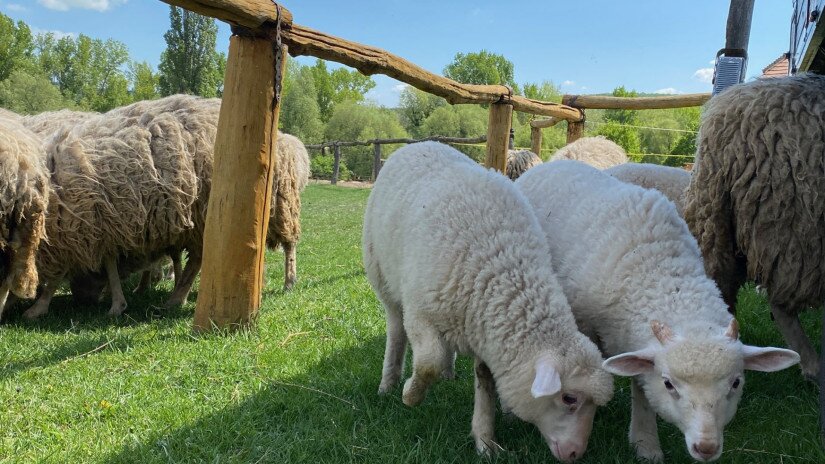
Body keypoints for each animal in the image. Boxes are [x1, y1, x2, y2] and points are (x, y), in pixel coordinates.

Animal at [364, 143, 616, 462]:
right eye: (568, 398)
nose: (575, 454)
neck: (501, 269)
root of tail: (421, 144)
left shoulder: (485, 330)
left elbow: (484, 383)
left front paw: (485, 439)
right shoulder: (420, 313)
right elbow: (428, 362)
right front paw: (411, 395)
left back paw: (448, 373)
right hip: (383, 277)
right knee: (397, 331)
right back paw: (389, 383)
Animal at [516, 159, 800, 460]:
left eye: (735, 383)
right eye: (669, 384)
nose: (706, 448)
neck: (662, 271)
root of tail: (556, 162)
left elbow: (641, 389)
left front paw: (645, 445)